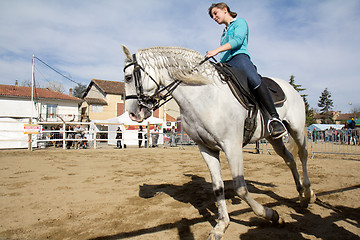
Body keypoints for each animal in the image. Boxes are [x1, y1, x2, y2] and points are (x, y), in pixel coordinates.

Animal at [122, 45, 316, 240]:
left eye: (128, 77)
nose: (132, 114)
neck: (204, 95)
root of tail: (291, 88)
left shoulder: (232, 147)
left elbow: (240, 188)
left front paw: (272, 215)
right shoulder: (206, 149)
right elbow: (217, 187)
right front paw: (221, 225)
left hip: (297, 130)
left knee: (303, 155)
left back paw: (308, 193)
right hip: (272, 138)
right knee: (289, 159)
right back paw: (301, 194)